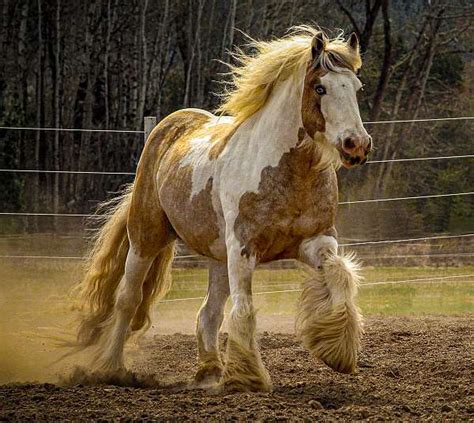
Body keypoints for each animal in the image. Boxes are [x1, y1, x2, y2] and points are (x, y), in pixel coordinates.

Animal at [72, 26, 372, 392]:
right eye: (320, 87)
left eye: (356, 88)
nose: (357, 145)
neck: (287, 173)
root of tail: (167, 129)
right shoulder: (243, 248)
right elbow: (244, 308)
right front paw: (248, 377)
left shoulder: (317, 242)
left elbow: (341, 277)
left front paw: (339, 354)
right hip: (146, 238)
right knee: (128, 299)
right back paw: (111, 368)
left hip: (217, 257)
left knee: (207, 313)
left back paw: (210, 372)